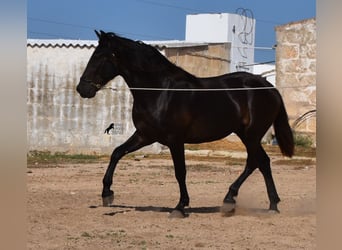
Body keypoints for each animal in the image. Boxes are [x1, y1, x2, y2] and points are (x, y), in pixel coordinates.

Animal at [77, 29, 294, 217]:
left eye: (101, 58)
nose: (82, 89)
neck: (160, 91)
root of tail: (269, 87)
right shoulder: (145, 135)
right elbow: (117, 153)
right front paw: (107, 194)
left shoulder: (175, 140)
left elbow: (180, 172)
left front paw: (180, 207)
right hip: (246, 134)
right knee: (260, 162)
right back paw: (256, 203)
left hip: (252, 135)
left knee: (258, 162)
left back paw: (245, 201)